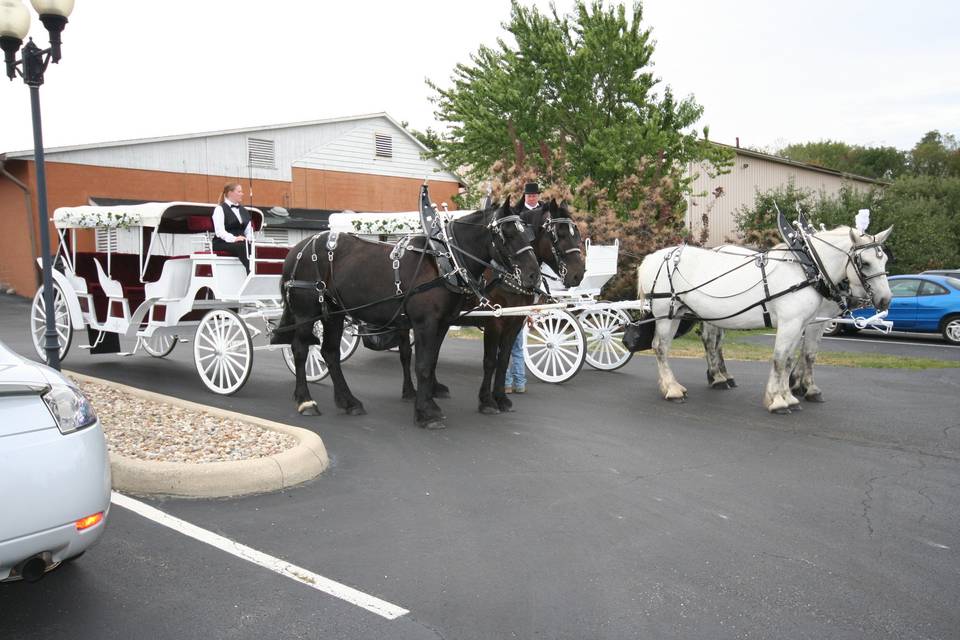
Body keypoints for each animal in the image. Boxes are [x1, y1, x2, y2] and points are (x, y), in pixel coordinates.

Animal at [274, 199, 540, 430]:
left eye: (528, 233)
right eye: (506, 233)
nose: (533, 276)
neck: (444, 261)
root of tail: (297, 250)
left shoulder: (442, 324)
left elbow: (430, 362)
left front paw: (429, 404)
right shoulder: (426, 324)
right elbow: (422, 365)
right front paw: (425, 414)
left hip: (334, 313)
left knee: (330, 352)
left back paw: (349, 402)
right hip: (306, 312)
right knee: (300, 349)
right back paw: (306, 401)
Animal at [396, 202, 588, 418]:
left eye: (576, 234)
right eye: (559, 235)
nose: (578, 274)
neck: (505, 274)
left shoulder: (515, 322)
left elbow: (503, 360)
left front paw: (501, 398)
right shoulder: (494, 322)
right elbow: (490, 361)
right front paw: (487, 401)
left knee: (433, 352)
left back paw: (434, 388)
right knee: (406, 353)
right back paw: (409, 391)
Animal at [636, 228, 892, 412]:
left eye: (885, 260)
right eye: (865, 262)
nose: (885, 300)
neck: (807, 270)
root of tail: (652, 257)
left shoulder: (802, 323)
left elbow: (791, 359)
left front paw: (790, 395)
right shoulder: (792, 322)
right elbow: (781, 359)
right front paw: (778, 400)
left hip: (682, 313)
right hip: (665, 313)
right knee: (661, 347)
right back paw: (673, 389)